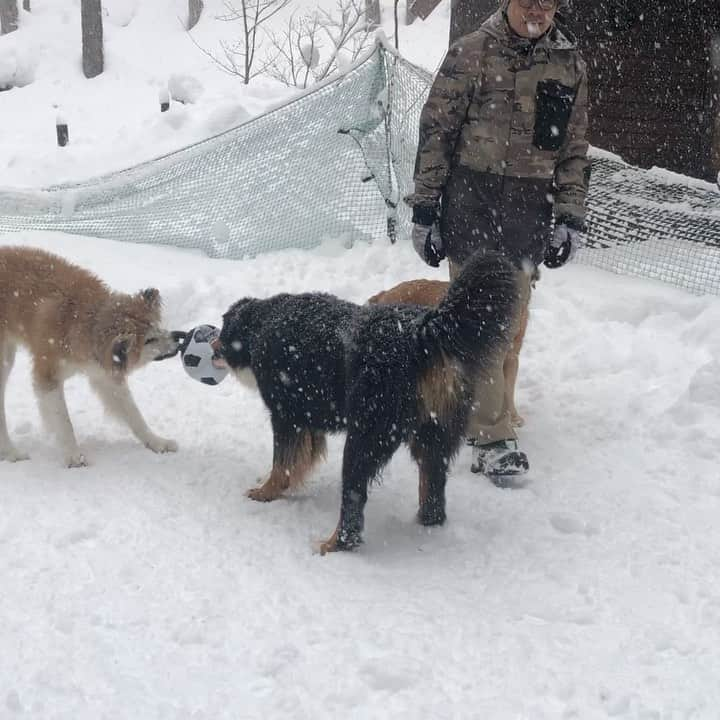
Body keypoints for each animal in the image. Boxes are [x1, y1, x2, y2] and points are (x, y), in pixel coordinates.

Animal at [0, 248, 183, 466]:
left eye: (157, 326)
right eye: (149, 340)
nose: (178, 337)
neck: (81, 320)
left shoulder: (105, 376)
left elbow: (134, 415)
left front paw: (156, 442)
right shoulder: (47, 376)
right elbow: (64, 422)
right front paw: (74, 456)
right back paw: (11, 452)